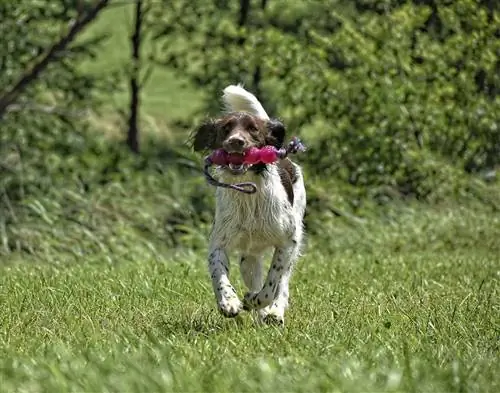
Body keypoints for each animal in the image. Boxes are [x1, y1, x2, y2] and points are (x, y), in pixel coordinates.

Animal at [191, 83, 306, 324]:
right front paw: (229, 302)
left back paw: (274, 312)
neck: (248, 194)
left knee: (283, 282)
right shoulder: (219, 242)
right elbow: (218, 272)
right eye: (226, 128)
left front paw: (257, 302)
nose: (236, 141)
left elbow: (273, 282)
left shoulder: (287, 241)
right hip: (249, 256)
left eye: (253, 129)